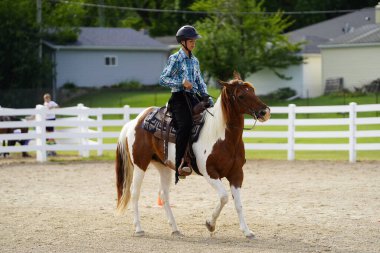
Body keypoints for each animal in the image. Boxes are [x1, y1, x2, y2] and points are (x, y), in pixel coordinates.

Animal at [115, 72, 270, 238]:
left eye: (253, 90)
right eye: (241, 96)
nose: (265, 112)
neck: (221, 136)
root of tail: (135, 122)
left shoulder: (236, 174)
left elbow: (238, 204)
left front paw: (247, 231)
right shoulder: (210, 173)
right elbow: (224, 197)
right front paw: (210, 224)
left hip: (163, 166)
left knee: (163, 195)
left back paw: (175, 228)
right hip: (140, 164)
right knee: (135, 193)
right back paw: (138, 228)